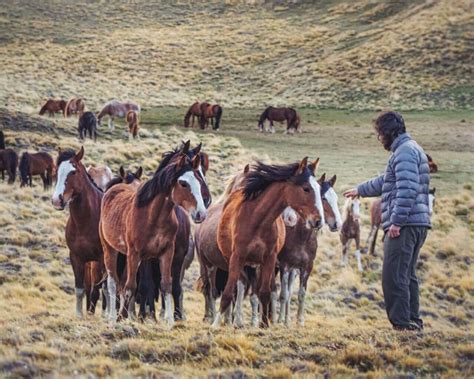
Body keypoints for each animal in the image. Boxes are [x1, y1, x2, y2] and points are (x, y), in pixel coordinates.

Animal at [51, 147, 104, 320]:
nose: (57, 200)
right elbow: (80, 289)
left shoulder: (101, 258)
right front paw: (80, 315)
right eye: (56, 171)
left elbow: (100, 288)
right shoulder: (77, 257)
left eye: (73, 172)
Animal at [99, 140, 209, 326]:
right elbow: (133, 286)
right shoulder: (137, 255)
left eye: (200, 176)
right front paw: (125, 317)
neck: (153, 216)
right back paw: (113, 316)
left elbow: (167, 285)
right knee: (113, 283)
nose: (201, 212)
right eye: (184, 183)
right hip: (110, 249)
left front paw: (171, 320)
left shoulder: (169, 253)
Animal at [213, 158, 324, 330]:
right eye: (306, 188)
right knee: (239, 286)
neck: (257, 219)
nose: (318, 221)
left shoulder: (270, 260)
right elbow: (228, 292)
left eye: (319, 189)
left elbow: (264, 292)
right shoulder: (237, 257)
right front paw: (215, 324)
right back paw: (234, 320)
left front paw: (264, 324)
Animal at [278, 174, 340, 326]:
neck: (301, 238)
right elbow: (283, 294)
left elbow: (300, 294)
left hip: (293, 271)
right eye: (323, 198)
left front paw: (299, 320)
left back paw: (287, 320)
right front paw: (280, 320)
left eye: (335, 198)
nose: (337, 224)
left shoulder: (306, 267)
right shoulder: (284, 266)